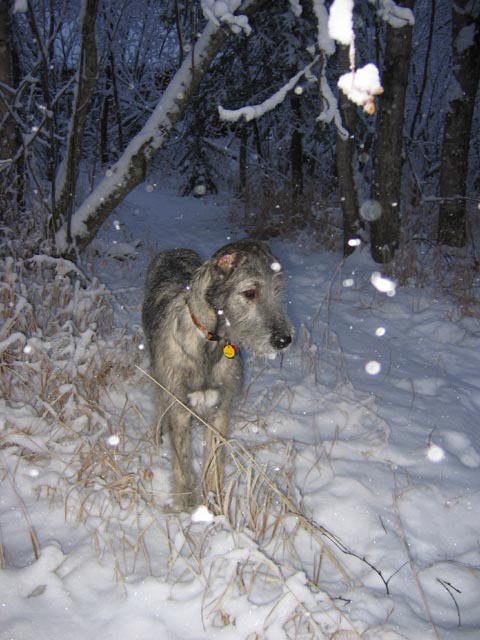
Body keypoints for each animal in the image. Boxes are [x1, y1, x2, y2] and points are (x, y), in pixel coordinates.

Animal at [142, 238, 292, 512]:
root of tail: (175, 249)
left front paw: (214, 507)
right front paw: (187, 510)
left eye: (277, 289)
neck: (209, 341)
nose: (284, 340)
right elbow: (183, 466)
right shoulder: (179, 410)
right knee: (159, 403)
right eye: (250, 293)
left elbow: (213, 463)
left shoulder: (220, 411)